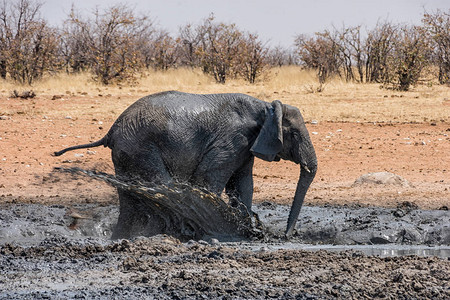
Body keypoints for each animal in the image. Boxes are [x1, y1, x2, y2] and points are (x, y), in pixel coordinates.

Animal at [55, 91, 316, 239]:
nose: (287, 236)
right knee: (160, 185)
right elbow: (208, 180)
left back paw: (124, 237)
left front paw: (246, 231)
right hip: (141, 148)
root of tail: (110, 130)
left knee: (129, 197)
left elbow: (243, 185)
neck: (264, 107)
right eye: (294, 134)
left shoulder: (248, 143)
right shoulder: (231, 140)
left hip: (125, 154)